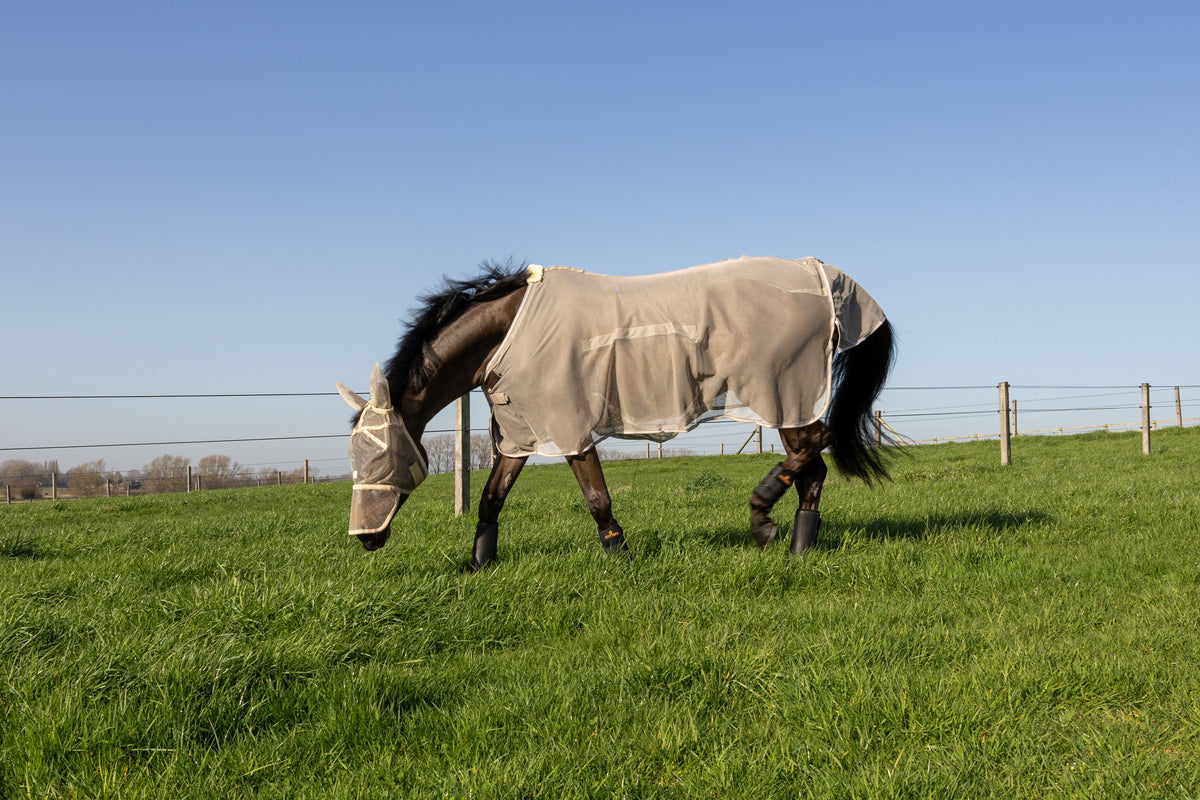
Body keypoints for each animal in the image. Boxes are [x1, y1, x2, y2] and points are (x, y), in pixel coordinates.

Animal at [336, 256, 895, 570]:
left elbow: (596, 497)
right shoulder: (518, 435)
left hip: (783, 393)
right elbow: (491, 500)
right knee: (813, 466)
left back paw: (761, 517)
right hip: (789, 402)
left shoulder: (568, 428)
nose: (365, 539)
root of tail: (819, 270)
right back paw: (799, 546)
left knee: (819, 442)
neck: (508, 332)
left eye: (380, 455)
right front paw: (478, 565)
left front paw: (619, 555)